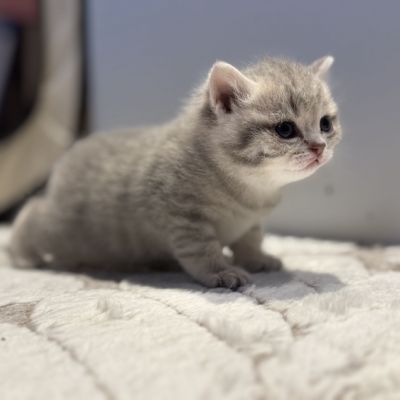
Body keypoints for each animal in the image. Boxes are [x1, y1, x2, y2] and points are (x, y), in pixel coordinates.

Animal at [9, 55, 342, 289]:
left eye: (325, 124)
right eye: (285, 129)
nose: (319, 147)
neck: (249, 188)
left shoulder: (250, 223)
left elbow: (250, 241)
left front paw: (256, 259)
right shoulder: (185, 219)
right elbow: (204, 252)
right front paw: (222, 271)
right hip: (64, 229)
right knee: (31, 213)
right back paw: (19, 253)